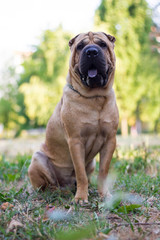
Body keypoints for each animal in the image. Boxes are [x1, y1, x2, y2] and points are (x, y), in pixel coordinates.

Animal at [28, 31, 119, 204]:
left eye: (102, 44)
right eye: (80, 46)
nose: (91, 52)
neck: (95, 98)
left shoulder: (110, 140)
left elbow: (103, 171)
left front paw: (104, 194)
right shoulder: (76, 140)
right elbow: (80, 173)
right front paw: (81, 198)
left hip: (91, 162)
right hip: (38, 159)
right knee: (48, 186)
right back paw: (59, 192)